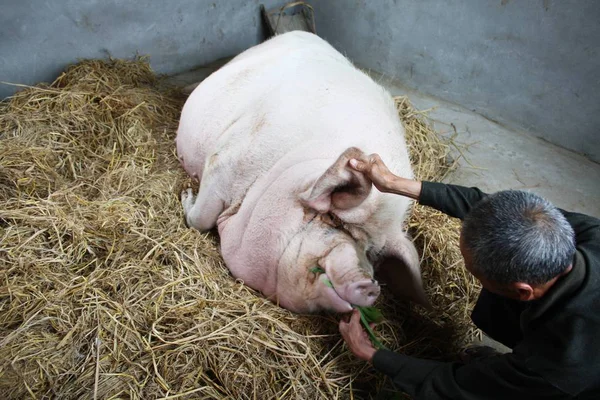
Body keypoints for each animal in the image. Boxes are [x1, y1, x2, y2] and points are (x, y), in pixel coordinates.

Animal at [175, 30, 426, 312]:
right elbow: (199, 220)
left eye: (372, 252)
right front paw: (186, 194)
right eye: (334, 219)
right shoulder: (225, 161)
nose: (371, 286)